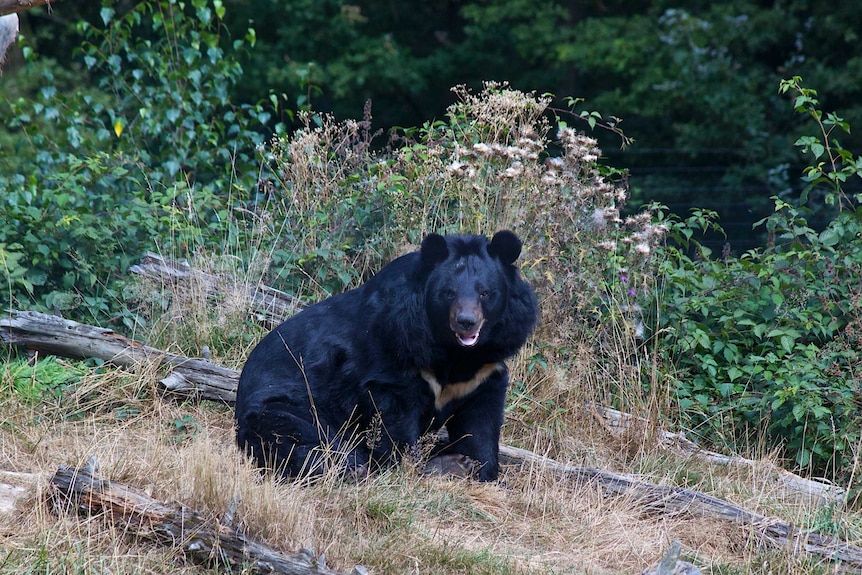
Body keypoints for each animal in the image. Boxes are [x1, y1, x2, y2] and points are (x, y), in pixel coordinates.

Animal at [233, 230, 536, 482]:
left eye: (485, 293)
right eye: (448, 293)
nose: (466, 322)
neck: (454, 351)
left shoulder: (485, 368)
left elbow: (481, 421)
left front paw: (482, 469)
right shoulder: (395, 351)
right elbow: (394, 417)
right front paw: (409, 466)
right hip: (287, 407)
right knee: (302, 440)